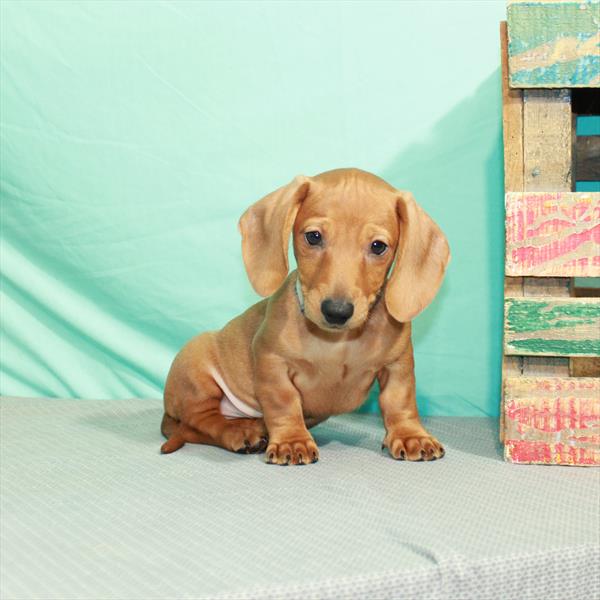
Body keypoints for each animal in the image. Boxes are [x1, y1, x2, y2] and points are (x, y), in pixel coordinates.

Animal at [161, 166, 450, 466]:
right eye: (313, 237)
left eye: (378, 246)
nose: (337, 311)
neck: (339, 342)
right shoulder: (271, 360)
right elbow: (284, 402)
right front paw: (292, 440)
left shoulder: (398, 364)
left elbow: (399, 401)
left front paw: (410, 435)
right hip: (195, 364)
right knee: (201, 421)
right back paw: (239, 431)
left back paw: (254, 425)